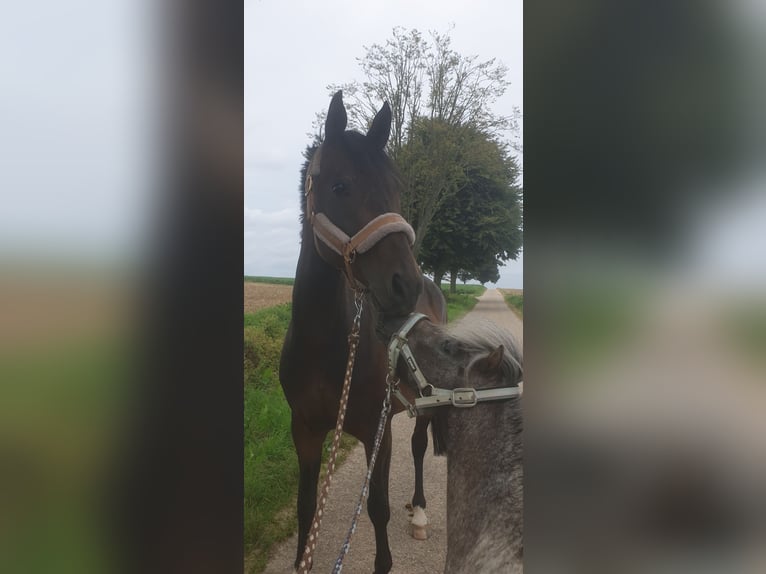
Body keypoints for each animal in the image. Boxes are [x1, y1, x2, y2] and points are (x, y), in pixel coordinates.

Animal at [280, 92, 450, 572]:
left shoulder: (379, 428)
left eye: (395, 188)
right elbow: (306, 507)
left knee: (418, 446)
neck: (326, 344)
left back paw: (420, 511)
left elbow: (376, 508)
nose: (405, 285)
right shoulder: (305, 429)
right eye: (340, 186)